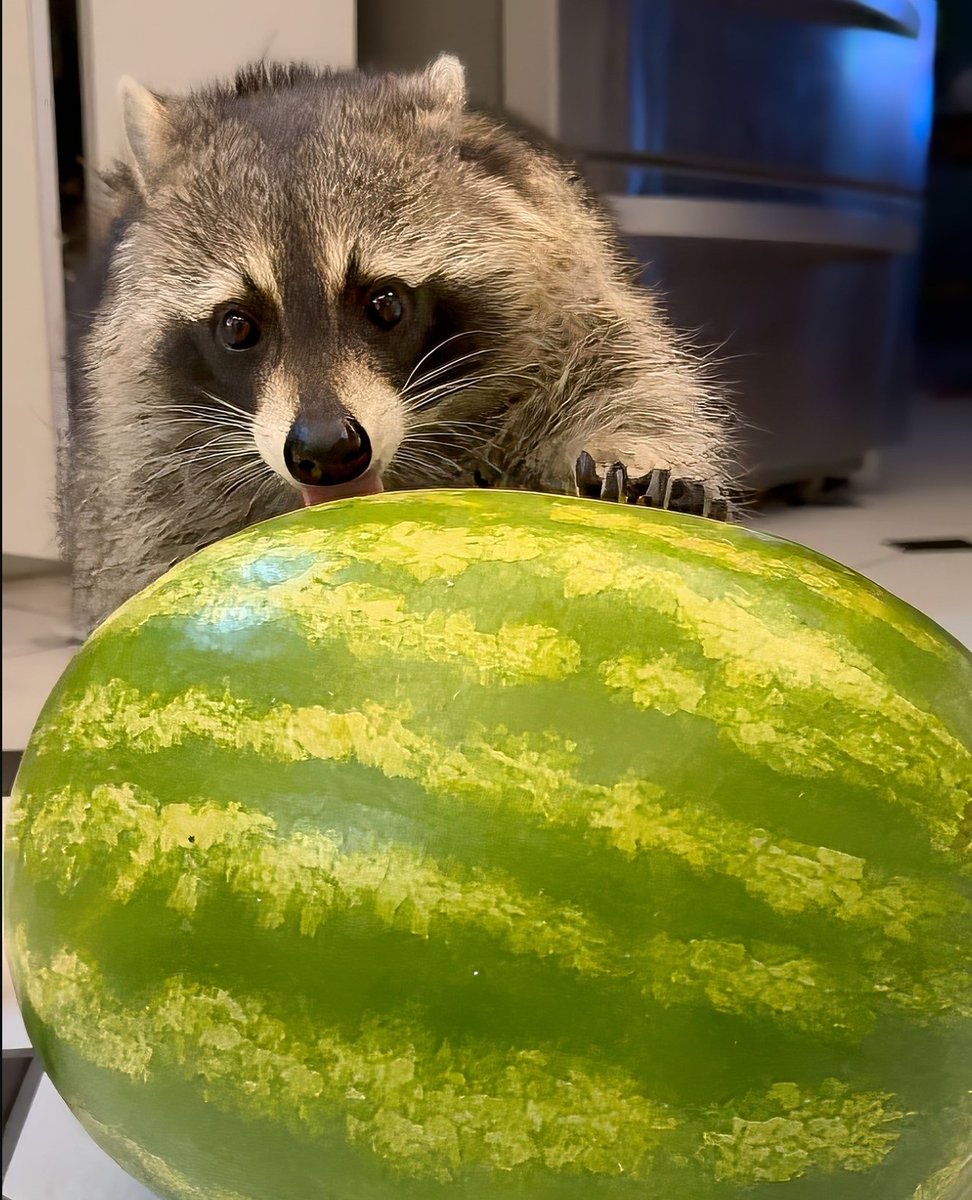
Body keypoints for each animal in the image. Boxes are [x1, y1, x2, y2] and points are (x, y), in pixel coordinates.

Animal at [64, 54, 733, 633]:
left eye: (384, 304)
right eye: (237, 326)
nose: (327, 451)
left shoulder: (570, 295)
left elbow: (628, 381)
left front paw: (638, 460)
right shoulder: (135, 451)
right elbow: (150, 542)